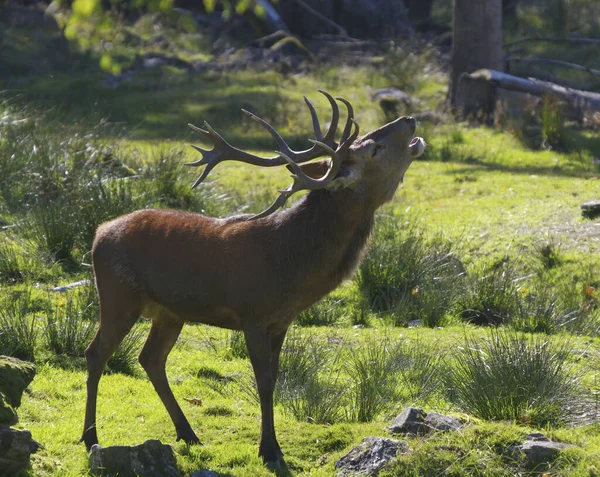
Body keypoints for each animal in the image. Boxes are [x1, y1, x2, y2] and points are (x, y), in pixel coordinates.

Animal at [81, 88, 426, 464]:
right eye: (374, 147)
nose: (410, 119)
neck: (294, 268)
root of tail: (98, 233)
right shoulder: (253, 315)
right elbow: (263, 381)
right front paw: (270, 450)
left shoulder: (281, 321)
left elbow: (275, 378)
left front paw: (270, 445)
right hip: (118, 296)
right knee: (96, 353)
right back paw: (90, 436)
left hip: (170, 313)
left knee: (151, 358)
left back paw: (188, 433)